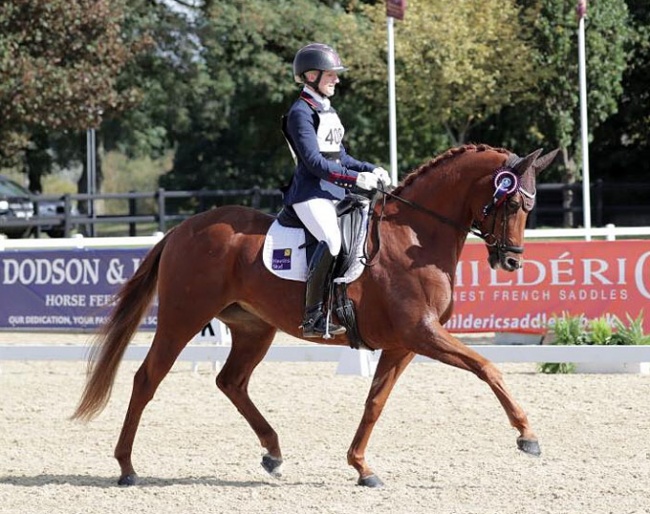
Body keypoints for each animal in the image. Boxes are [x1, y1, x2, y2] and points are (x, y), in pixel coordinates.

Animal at [71, 143, 556, 484]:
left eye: (530, 207)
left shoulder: (404, 343)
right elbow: (488, 367)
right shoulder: (422, 333)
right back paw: (126, 467)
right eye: (514, 204)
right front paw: (527, 436)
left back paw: (272, 453)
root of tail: (180, 230)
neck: (414, 236)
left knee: (231, 381)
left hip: (253, 327)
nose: (510, 261)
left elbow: (375, 402)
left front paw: (361, 467)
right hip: (182, 319)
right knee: (146, 379)